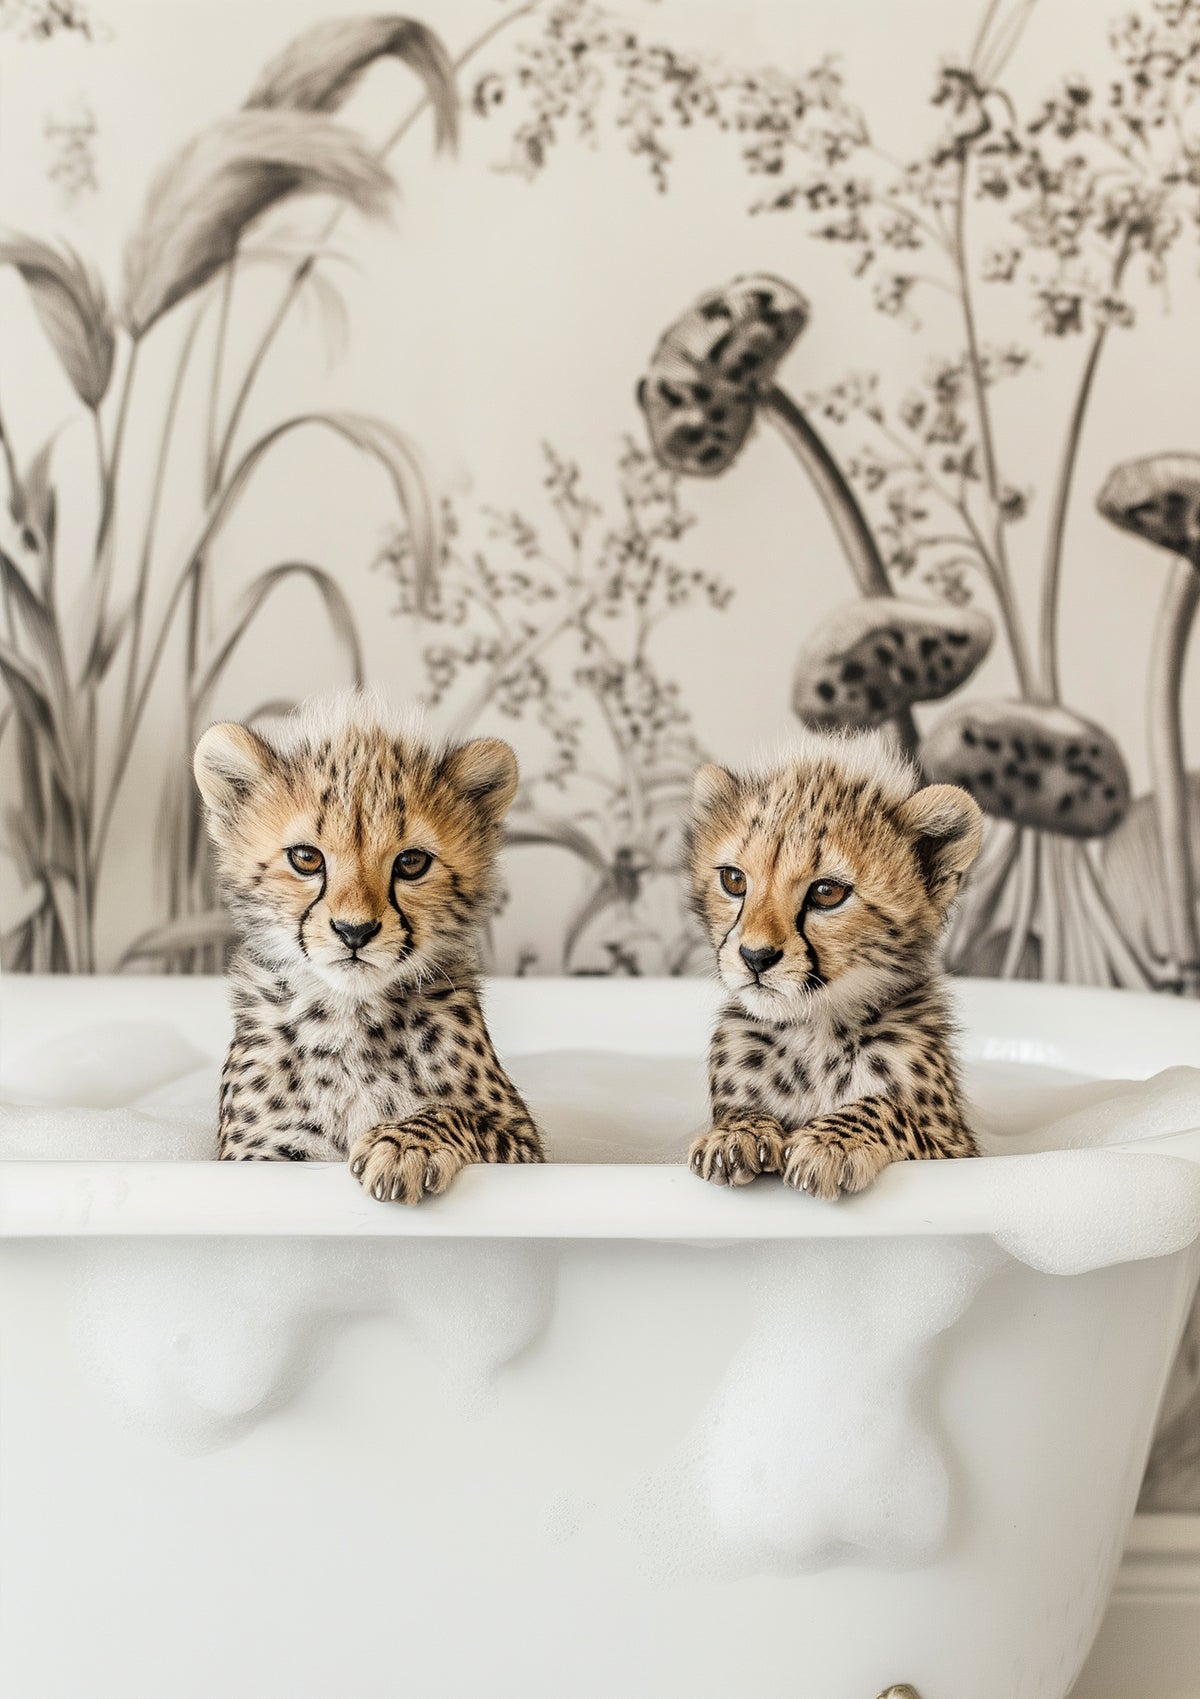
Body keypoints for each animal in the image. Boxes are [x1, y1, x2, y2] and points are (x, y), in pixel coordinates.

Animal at [193, 693, 543, 1203]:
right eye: (306, 858)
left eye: (412, 862)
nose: (354, 931)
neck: (351, 1015)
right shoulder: (257, 1154)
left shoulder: (523, 1140)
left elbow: (452, 1113)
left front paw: (403, 1146)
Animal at [684, 729, 983, 1201]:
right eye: (733, 880)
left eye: (827, 892)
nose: (755, 957)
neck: (815, 1028)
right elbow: (741, 1113)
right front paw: (737, 1133)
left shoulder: (958, 1148)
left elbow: (886, 1106)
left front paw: (831, 1141)